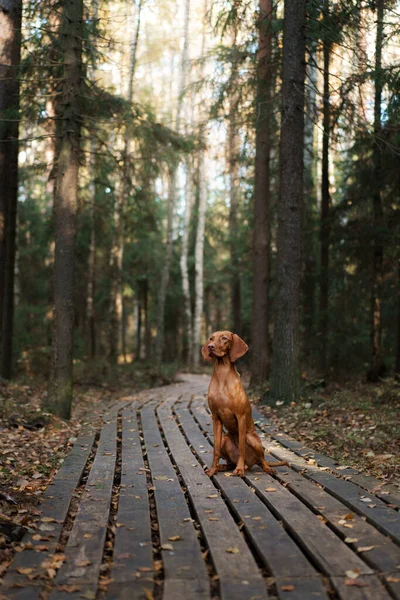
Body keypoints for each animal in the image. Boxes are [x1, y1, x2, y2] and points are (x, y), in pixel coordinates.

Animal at [202, 330, 286, 476]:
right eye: (211, 338)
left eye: (224, 338)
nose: (210, 346)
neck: (222, 374)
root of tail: (250, 464)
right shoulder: (216, 417)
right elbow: (215, 450)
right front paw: (212, 469)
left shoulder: (240, 416)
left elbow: (241, 447)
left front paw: (239, 469)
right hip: (225, 438)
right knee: (231, 461)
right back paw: (223, 466)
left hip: (253, 439)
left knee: (262, 459)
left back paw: (264, 468)